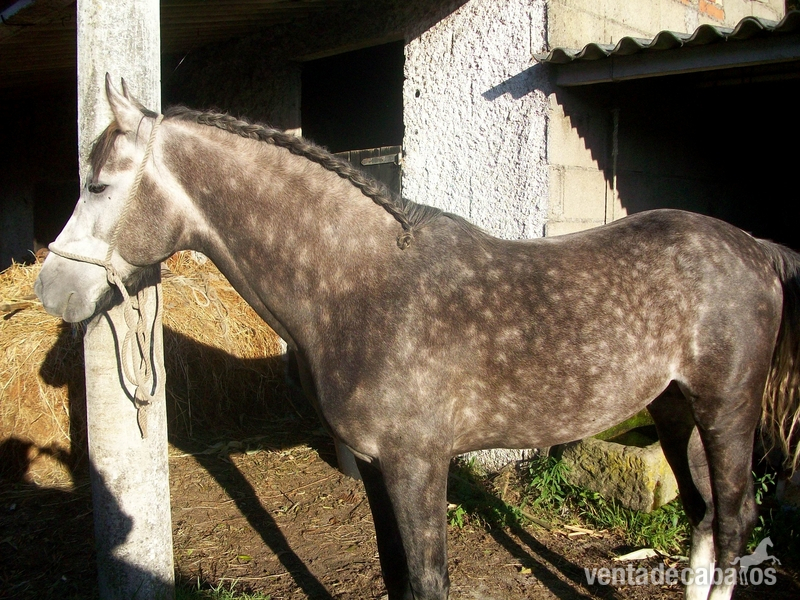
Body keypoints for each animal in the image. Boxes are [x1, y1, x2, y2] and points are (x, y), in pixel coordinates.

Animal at [35, 75, 800, 600]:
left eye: (98, 185)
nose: (50, 290)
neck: (364, 287)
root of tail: (754, 249)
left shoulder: (418, 466)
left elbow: (429, 581)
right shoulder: (378, 469)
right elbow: (397, 577)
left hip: (726, 408)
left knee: (734, 517)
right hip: (675, 407)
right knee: (704, 516)